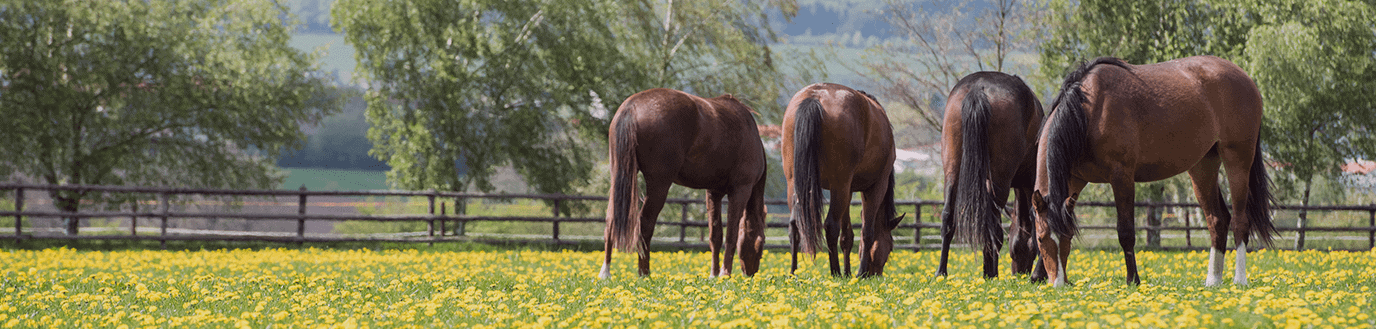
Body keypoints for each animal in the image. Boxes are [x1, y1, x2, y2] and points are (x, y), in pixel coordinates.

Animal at [602, 87, 776, 278]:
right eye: (761, 244)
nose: (751, 274)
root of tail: (631, 106)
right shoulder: (740, 190)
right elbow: (732, 234)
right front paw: (725, 274)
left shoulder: (713, 192)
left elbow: (715, 236)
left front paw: (714, 275)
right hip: (659, 185)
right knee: (645, 224)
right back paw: (644, 273)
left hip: (619, 178)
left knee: (611, 220)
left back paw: (606, 272)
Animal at [781, 82, 908, 278]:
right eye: (891, 246)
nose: (875, 274)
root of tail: (815, 96)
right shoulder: (875, 187)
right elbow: (867, 231)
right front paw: (859, 273)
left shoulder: (848, 190)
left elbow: (847, 235)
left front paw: (849, 273)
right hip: (839, 186)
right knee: (830, 226)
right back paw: (835, 273)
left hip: (796, 184)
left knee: (794, 226)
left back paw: (794, 273)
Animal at [935, 71, 1040, 278]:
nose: (1019, 273)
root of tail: (978, 89)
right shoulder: (1030, 182)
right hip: (1000, 179)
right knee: (994, 228)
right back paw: (992, 275)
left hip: (952, 169)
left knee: (948, 217)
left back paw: (942, 273)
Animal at [1034, 55, 1276, 284]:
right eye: (1040, 238)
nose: (1057, 282)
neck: (1088, 112)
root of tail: (1245, 78)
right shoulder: (1075, 179)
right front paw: (1038, 275)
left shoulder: (1121, 177)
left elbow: (1126, 232)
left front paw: (1133, 279)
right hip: (1202, 168)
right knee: (1217, 221)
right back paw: (1213, 280)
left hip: (1238, 162)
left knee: (1239, 221)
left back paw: (1239, 279)